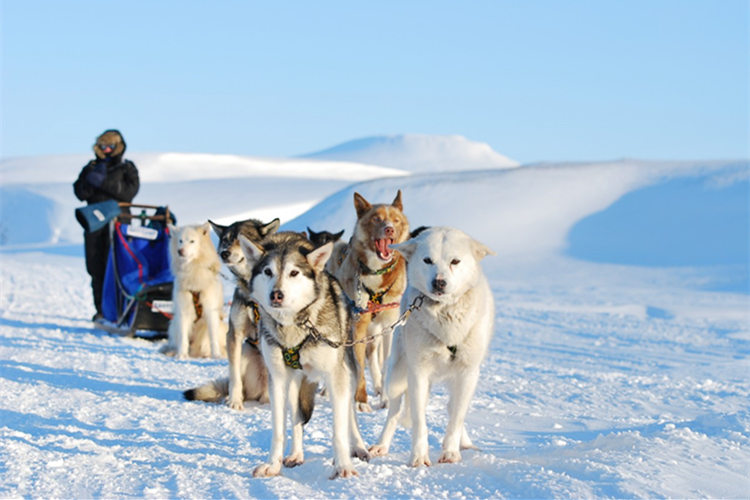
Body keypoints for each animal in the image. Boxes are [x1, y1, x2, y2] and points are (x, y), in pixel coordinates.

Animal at [161, 224, 226, 360]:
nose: (180, 251)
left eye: (192, 241)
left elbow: (213, 338)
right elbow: (183, 337)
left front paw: (216, 355)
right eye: (180, 241)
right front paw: (181, 355)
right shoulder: (183, 310)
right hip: (173, 324)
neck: (192, 270)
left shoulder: (210, 310)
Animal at [241, 232, 370, 478]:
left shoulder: (336, 376)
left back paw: (359, 446)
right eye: (267, 271)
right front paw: (273, 465)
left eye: (294, 273)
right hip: (294, 384)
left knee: (350, 413)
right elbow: (279, 430)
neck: (296, 325)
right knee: (297, 419)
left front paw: (343, 466)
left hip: (350, 372)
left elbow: (339, 430)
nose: (276, 294)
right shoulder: (277, 379)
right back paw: (296, 454)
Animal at [368, 228, 496, 468]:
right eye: (428, 260)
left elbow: (457, 417)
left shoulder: (467, 372)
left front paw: (451, 452)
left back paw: (465, 443)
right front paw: (419, 457)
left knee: (453, 407)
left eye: (455, 261)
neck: (446, 318)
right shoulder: (418, 373)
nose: (439, 283)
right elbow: (419, 421)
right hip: (397, 375)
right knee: (394, 412)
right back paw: (381, 445)